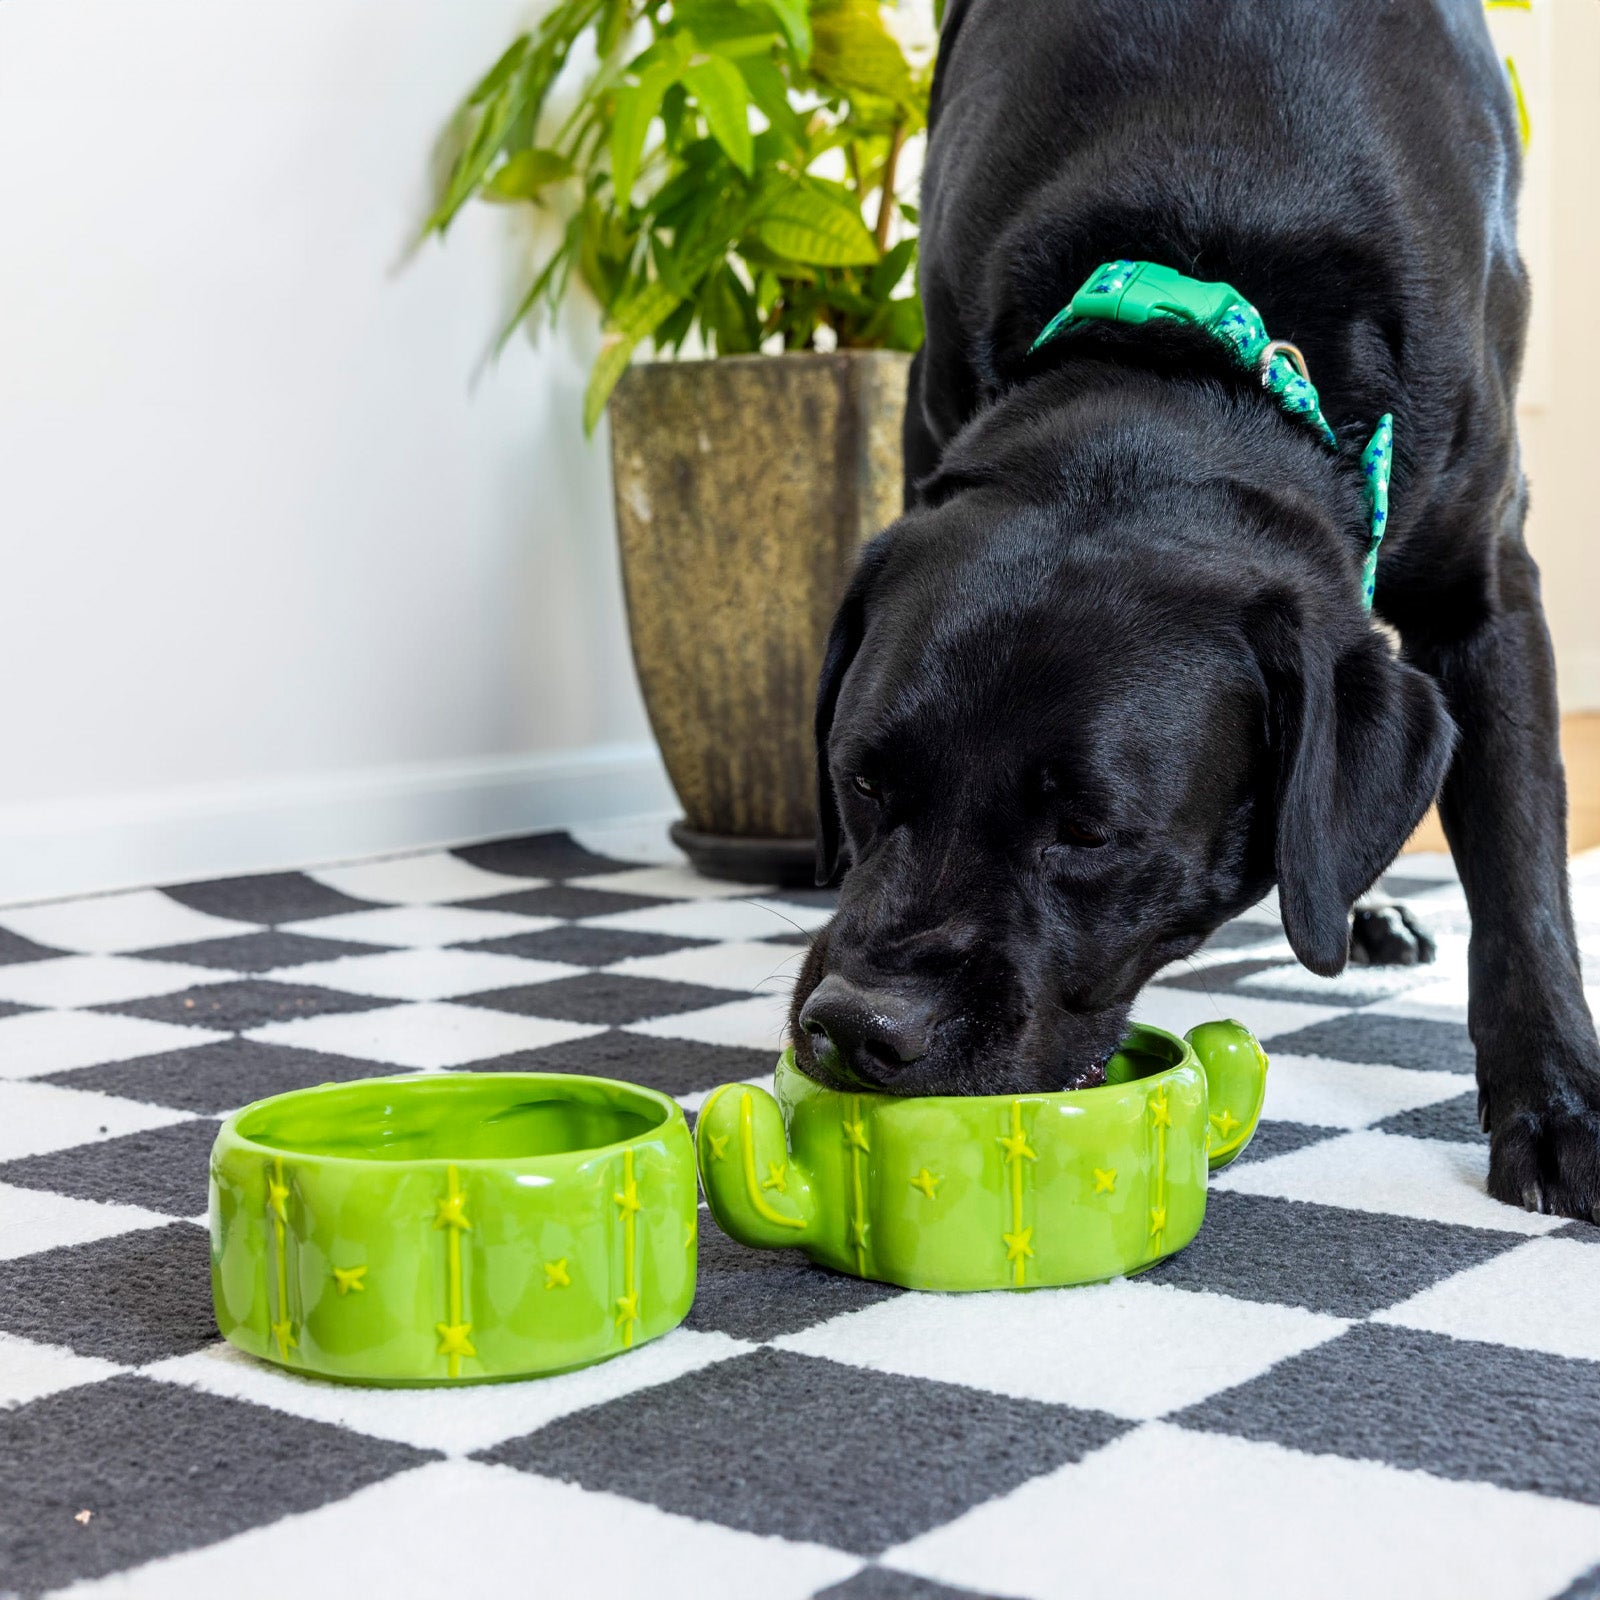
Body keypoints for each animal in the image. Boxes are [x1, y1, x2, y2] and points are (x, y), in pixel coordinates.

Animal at [790, 0, 1600, 1216]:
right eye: (863, 783)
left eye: (1088, 832)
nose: (856, 1028)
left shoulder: (1487, 582)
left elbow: (1521, 873)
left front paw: (1558, 1108)